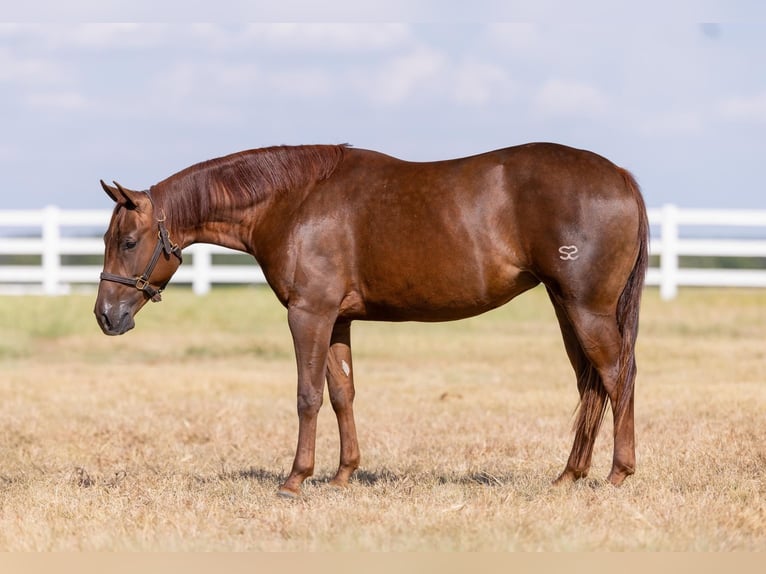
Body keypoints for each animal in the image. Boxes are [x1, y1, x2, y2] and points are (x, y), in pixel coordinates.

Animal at [93, 142, 652, 498]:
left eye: (128, 241)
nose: (105, 315)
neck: (293, 201)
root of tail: (622, 176)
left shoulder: (309, 314)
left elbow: (308, 395)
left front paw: (295, 480)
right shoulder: (337, 320)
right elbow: (343, 392)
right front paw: (343, 475)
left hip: (586, 308)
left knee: (617, 375)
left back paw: (617, 475)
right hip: (566, 307)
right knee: (590, 385)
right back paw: (570, 475)